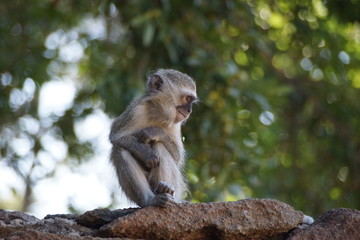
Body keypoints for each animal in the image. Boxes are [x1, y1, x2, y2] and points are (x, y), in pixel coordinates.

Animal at [109, 68, 197, 207]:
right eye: (187, 98)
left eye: (192, 100)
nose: (189, 110)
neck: (158, 113)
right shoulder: (136, 111)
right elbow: (116, 137)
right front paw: (146, 153)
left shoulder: (176, 125)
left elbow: (177, 157)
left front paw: (154, 131)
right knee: (120, 150)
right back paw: (150, 200)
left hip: (177, 188)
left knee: (159, 145)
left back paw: (166, 190)